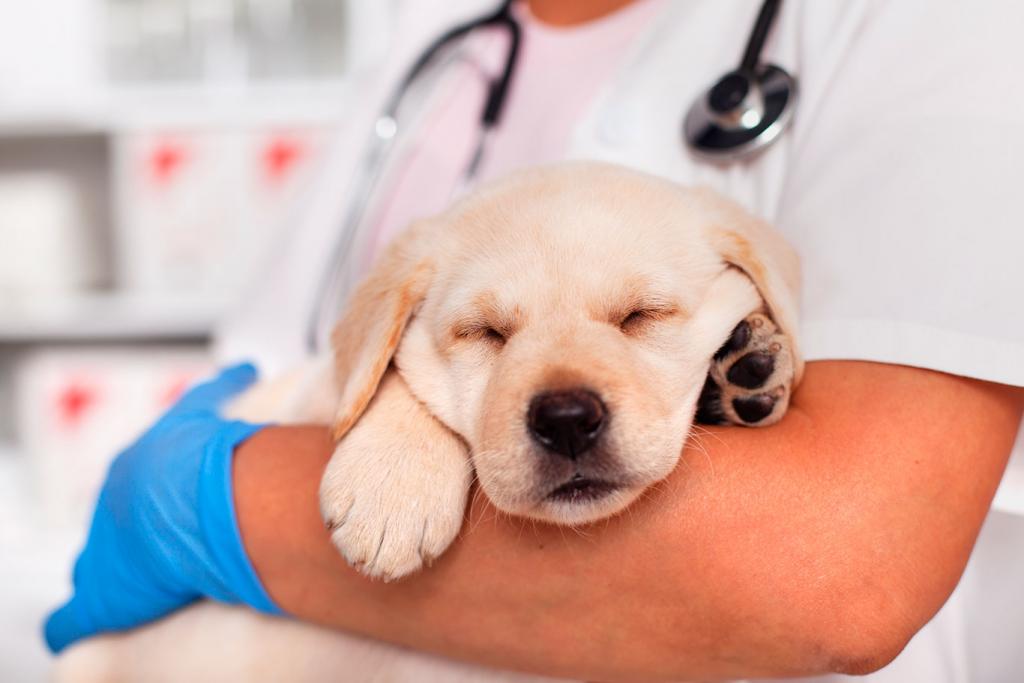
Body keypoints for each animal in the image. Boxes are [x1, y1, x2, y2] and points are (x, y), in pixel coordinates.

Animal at [56, 162, 802, 679]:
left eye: (641, 315)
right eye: (485, 333)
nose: (566, 419)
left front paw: (755, 357)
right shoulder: (314, 394)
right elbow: (388, 373)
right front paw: (391, 488)